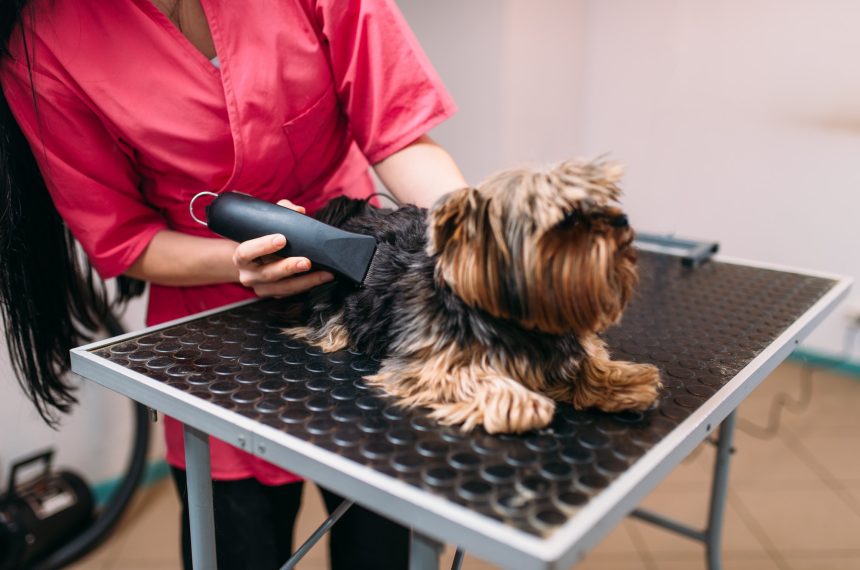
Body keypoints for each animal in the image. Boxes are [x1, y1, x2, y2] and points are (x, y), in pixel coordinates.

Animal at [286, 155, 660, 430]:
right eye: (568, 216)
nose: (621, 222)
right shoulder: (430, 364)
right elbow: (468, 378)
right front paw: (525, 404)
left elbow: (587, 358)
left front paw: (622, 380)